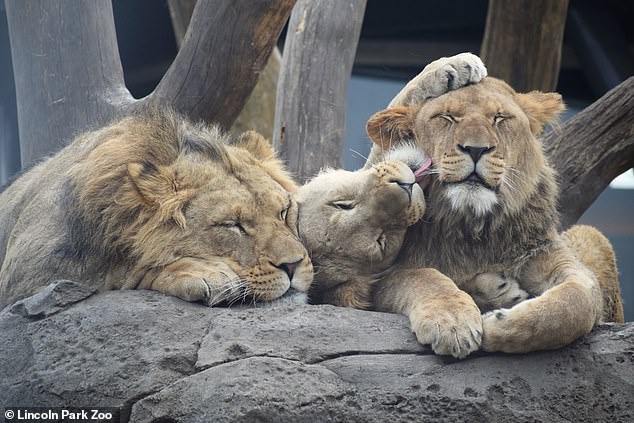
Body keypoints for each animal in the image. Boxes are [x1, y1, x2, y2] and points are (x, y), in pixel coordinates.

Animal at [0, 108, 314, 308]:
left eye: (283, 212)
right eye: (232, 225)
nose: (293, 264)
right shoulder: (23, 278)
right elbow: (125, 269)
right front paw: (211, 274)